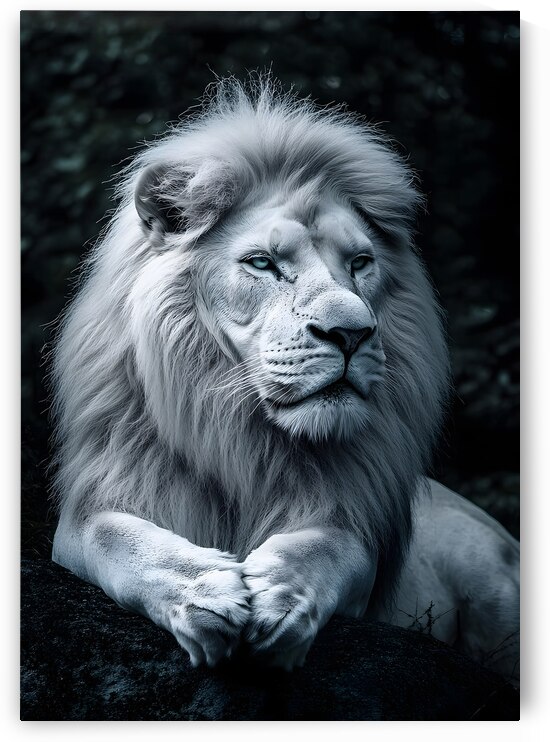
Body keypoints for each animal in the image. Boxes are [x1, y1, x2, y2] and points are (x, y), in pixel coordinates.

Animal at [50, 77, 519, 682]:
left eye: (360, 262)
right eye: (262, 263)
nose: (351, 334)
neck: (243, 433)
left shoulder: (358, 529)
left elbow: (330, 546)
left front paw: (281, 598)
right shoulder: (86, 514)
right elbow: (118, 537)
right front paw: (203, 593)